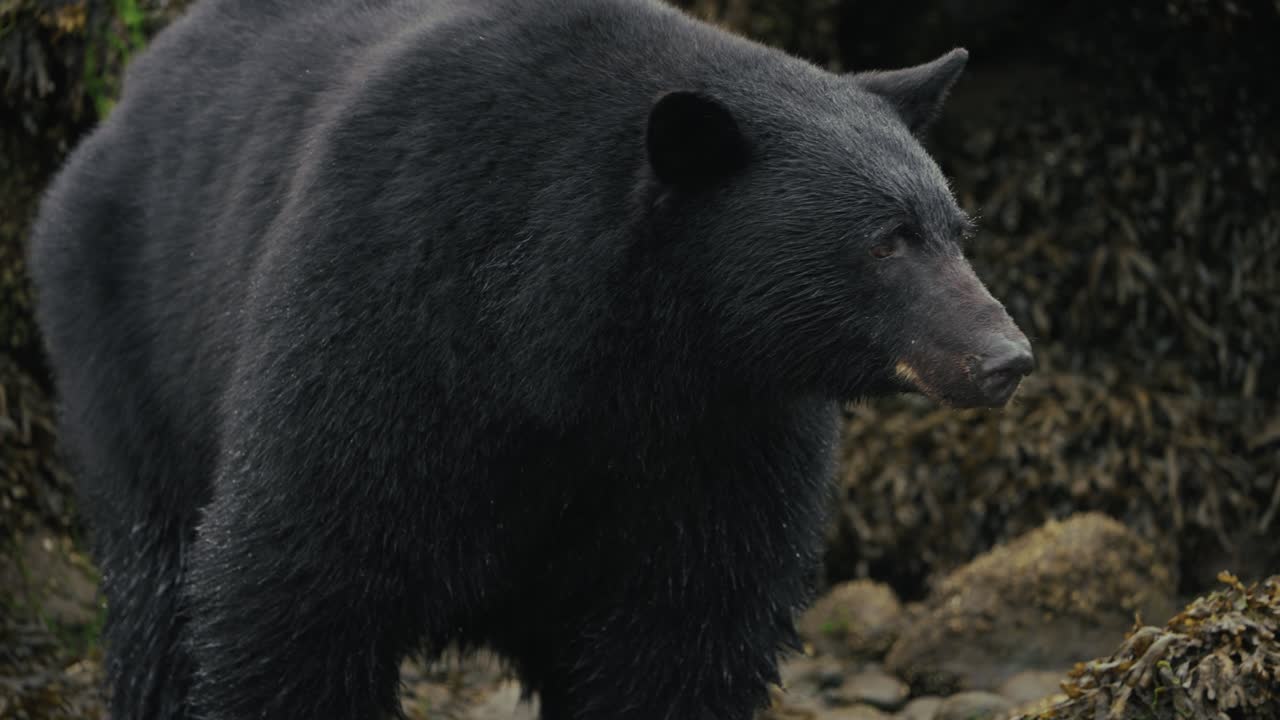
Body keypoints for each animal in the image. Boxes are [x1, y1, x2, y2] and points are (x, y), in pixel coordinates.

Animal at [29, 0, 1033, 718]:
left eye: (957, 230)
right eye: (886, 241)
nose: (1007, 357)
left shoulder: (730, 425)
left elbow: (688, 622)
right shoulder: (386, 306)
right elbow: (299, 574)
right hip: (125, 338)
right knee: (157, 578)